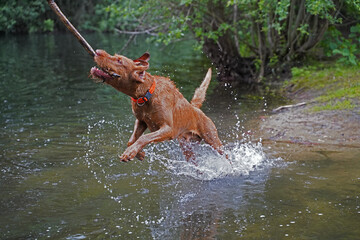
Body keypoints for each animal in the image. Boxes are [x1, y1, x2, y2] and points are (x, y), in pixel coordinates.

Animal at [90, 49, 225, 162]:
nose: (97, 51)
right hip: (187, 147)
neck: (145, 95)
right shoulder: (141, 121)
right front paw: (138, 152)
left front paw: (131, 152)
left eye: (119, 60)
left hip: (214, 141)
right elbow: (132, 140)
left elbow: (144, 137)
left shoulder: (168, 129)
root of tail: (195, 108)